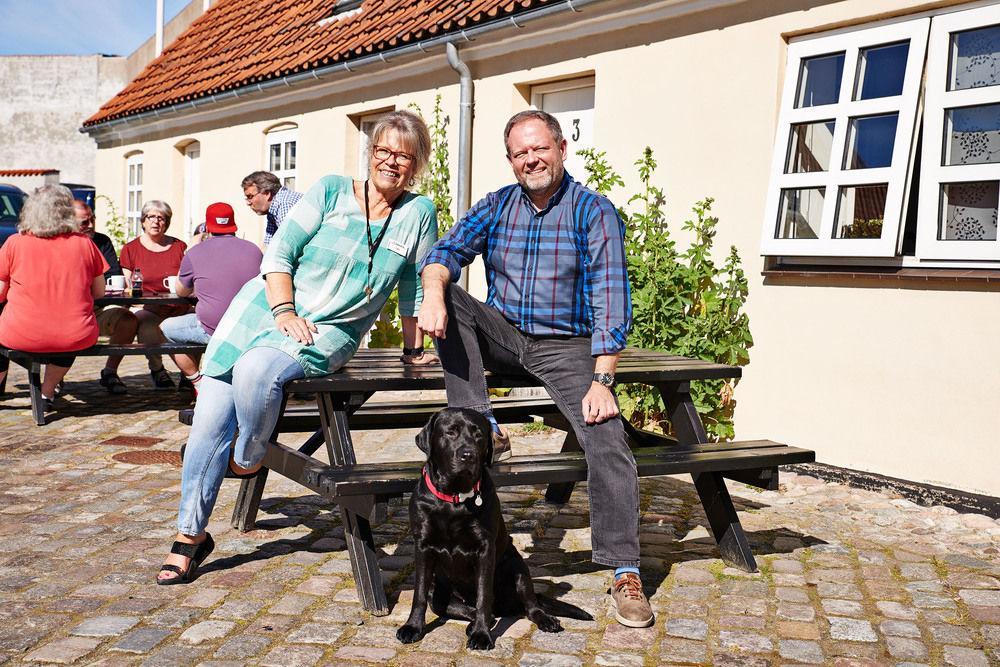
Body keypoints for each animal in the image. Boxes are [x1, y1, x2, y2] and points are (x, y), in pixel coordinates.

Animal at [394, 408, 588, 652]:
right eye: (450, 432)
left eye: (478, 435)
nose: (468, 455)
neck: (454, 498)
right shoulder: (423, 547)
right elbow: (418, 593)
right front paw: (413, 627)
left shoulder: (485, 550)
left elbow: (483, 595)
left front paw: (481, 634)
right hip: (438, 593)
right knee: (467, 609)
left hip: (518, 568)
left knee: (529, 605)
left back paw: (543, 619)